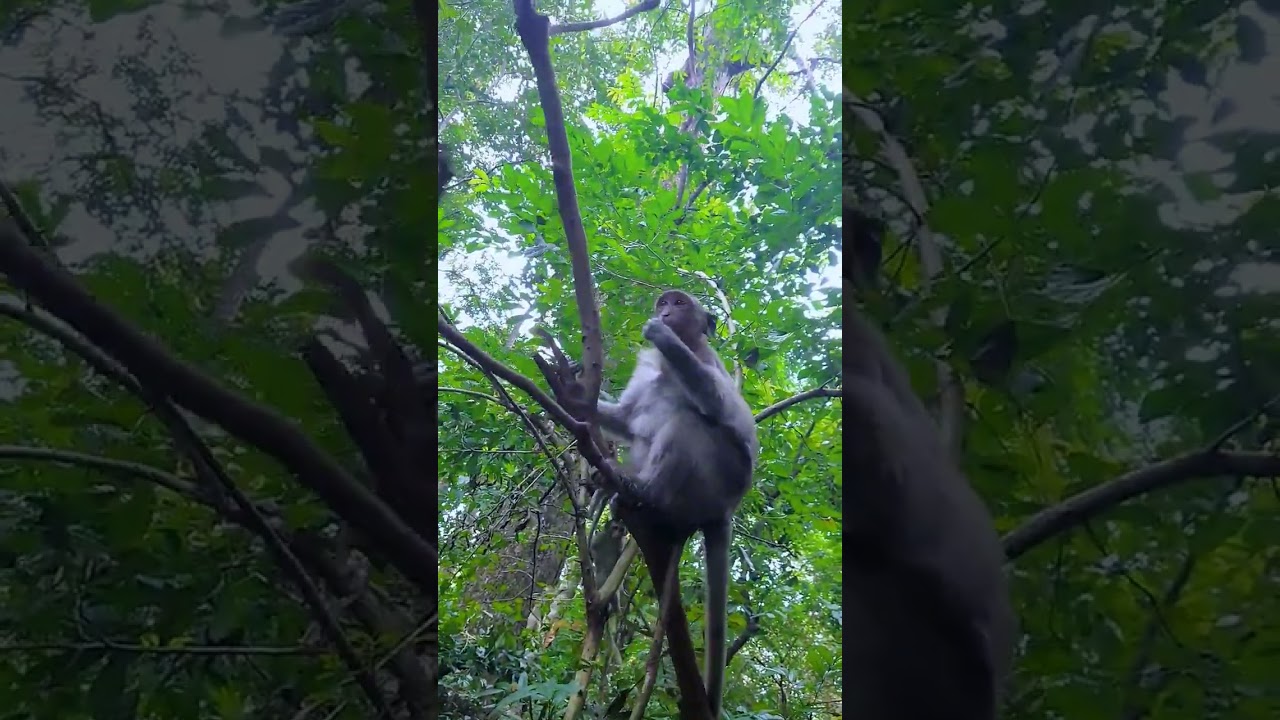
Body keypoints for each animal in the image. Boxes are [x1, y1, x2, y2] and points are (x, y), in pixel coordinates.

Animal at [592, 289, 758, 719]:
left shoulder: (708, 362)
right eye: (663, 302)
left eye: (679, 304)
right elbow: (624, 419)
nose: (664, 313)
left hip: (714, 484)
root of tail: (726, 510)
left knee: (691, 423)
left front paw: (663, 337)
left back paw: (645, 491)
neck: (666, 371)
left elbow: (722, 407)